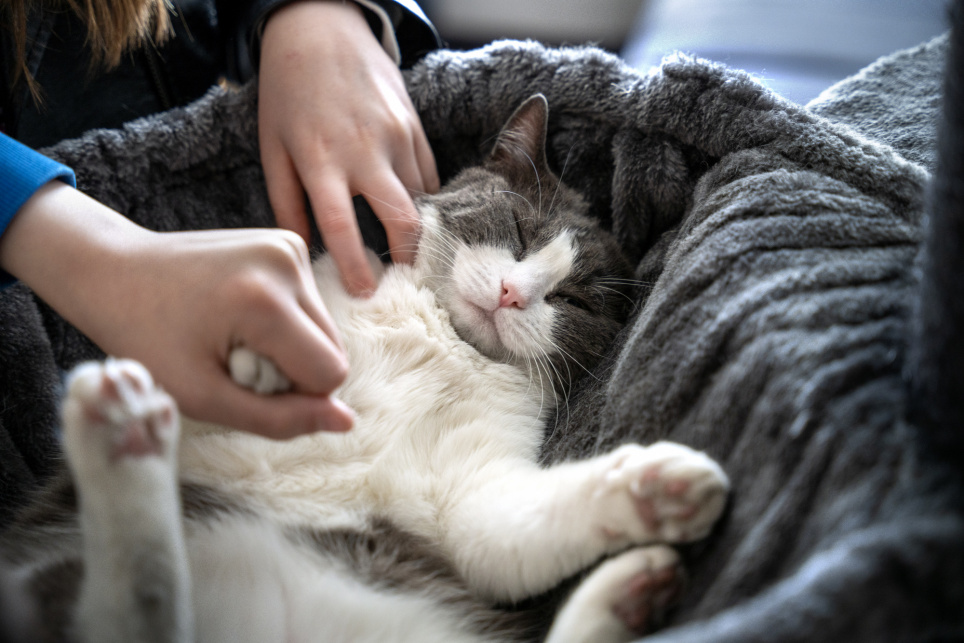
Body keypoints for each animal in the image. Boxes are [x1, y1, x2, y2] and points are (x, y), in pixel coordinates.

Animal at [0, 95, 724, 643]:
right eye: (518, 229)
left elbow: (505, 527)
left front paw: (659, 486)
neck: (446, 338)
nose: (513, 294)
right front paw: (262, 357)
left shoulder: (472, 491)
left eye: (574, 300)